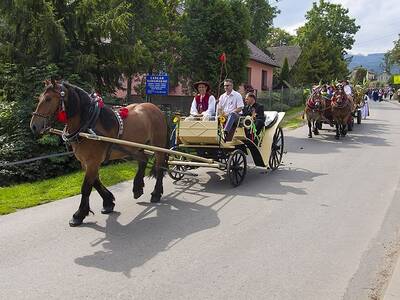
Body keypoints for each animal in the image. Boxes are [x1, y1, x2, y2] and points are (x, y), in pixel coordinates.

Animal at [30, 81, 167, 226]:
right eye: (39, 98)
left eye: (48, 99)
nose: (34, 126)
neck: (87, 125)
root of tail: (156, 108)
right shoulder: (85, 162)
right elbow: (95, 182)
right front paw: (108, 202)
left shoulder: (93, 161)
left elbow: (86, 187)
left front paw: (79, 215)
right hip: (134, 147)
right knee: (143, 160)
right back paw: (137, 188)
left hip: (158, 146)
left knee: (159, 167)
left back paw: (156, 193)